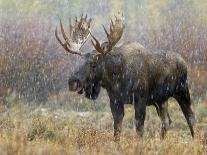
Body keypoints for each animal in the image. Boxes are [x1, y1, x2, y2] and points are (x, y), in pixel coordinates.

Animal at [55, 13, 196, 141]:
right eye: (80, 61)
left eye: (93, 64)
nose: (72, 82)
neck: (116, 78)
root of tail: (184, 63)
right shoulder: (115, 100)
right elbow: (117, 129)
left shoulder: (140, 97)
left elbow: (139, 128)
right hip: (161, 100)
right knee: (166, 121)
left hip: (182, 91)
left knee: (191, 118)